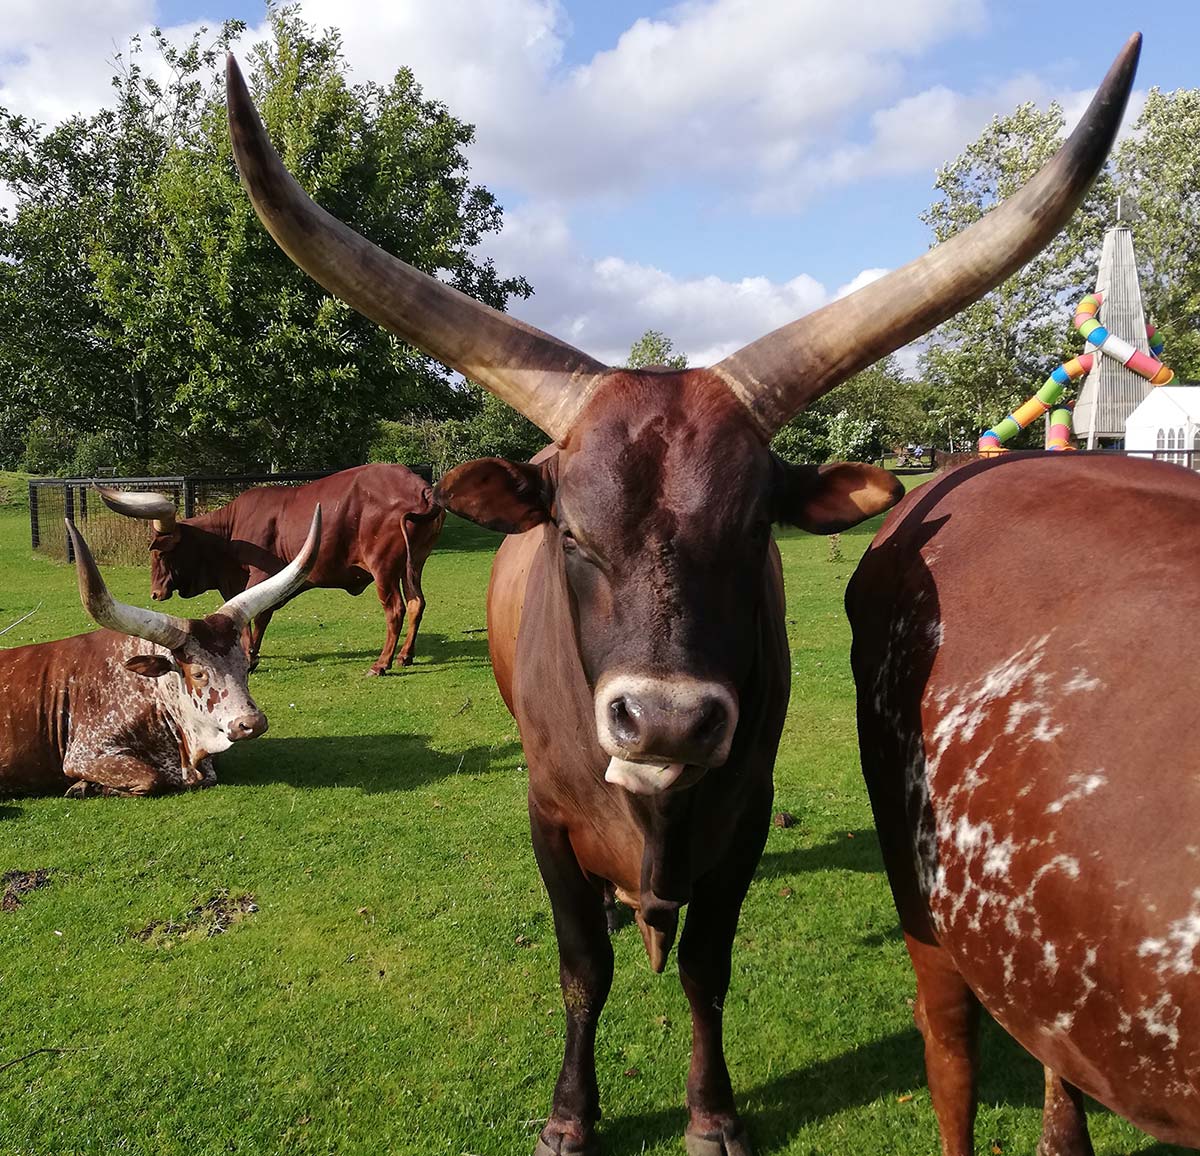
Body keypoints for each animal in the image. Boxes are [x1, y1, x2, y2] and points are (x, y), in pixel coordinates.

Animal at [0, 510, 320, 797]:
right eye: (198, 673)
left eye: (245, 666)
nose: (252, 723)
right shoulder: (84, 753)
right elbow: (151, 777)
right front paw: (86, 786)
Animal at [96, 463, 445, 676]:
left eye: (160, 553)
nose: (155, 593)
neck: (229, 534)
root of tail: (421, 488)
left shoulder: (260, 576)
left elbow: (255, 615)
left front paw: (249, 657)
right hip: (413, 565)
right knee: (417, 603)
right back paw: (405, 655)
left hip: (384, 568)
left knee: (396, 609)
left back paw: (381, 663)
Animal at [225, 35, 1139, 1156]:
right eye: (573, 534)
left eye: (752, 533)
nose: (664, 720)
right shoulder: (547, 816)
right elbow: (583, 969)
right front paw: (571, 1114)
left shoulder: (743, 815)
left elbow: (707, 967)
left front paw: (711, 1112)